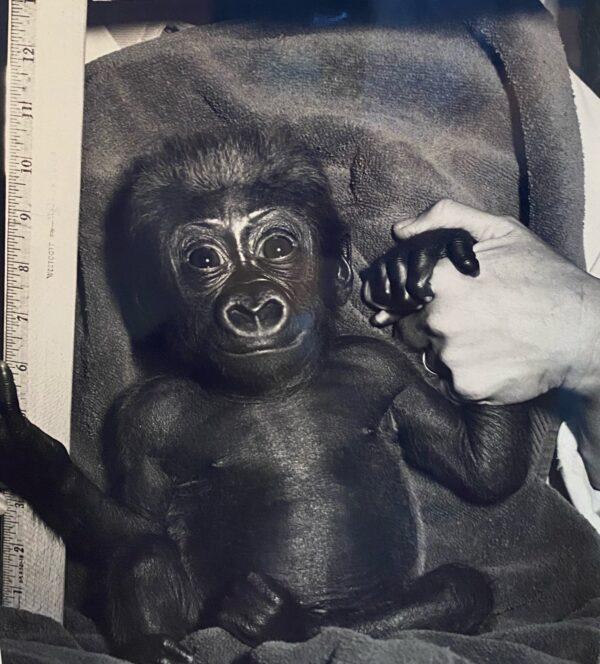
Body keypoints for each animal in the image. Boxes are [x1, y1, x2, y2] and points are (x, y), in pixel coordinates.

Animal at [0, 127, 532, 664]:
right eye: (203, 260)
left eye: (277, 247)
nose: (253, 305)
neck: (271, 390)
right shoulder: (146, 416)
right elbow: (139, 524)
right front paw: (32, 453)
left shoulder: (382, 367)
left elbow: (483, 473)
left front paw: (440, 264)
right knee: (145, 554)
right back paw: (171, 642)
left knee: (456, 591)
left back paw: (283, 621)